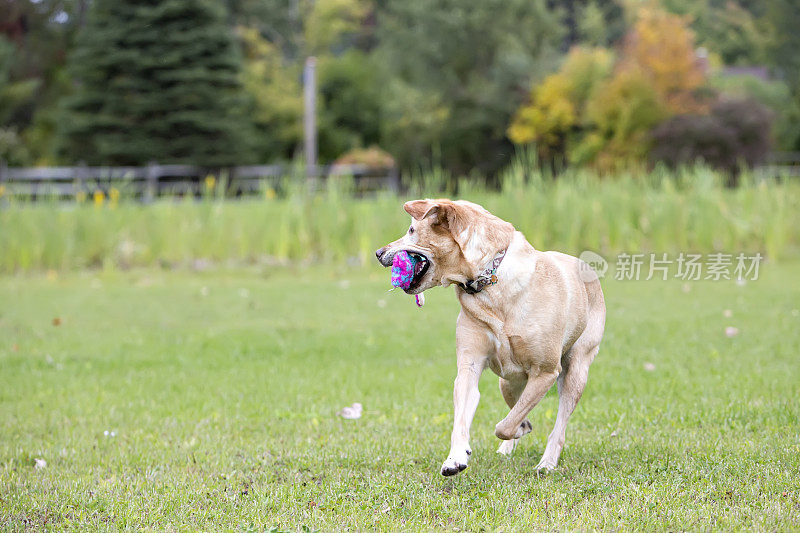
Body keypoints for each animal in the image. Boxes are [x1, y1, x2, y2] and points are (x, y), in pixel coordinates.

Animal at [376, 198, 608, 474]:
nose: (378, 253)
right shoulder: (469, 366)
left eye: (412, 230)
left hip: (576, 370)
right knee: (516, 403)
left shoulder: (546, 372)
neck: (490, 282)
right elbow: (464, 419)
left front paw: (517, 430)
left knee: (558, 422)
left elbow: (505, 425)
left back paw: (547, 462)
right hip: (507, 382)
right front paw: (456, 458)